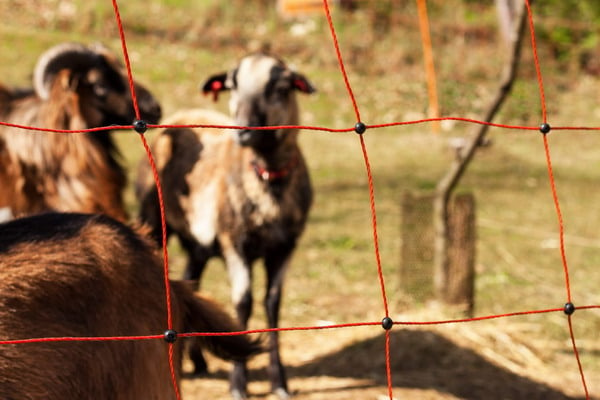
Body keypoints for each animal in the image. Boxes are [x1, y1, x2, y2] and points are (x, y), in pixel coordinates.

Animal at [135, 50, 314, 400]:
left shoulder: (285, 246)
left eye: (281, 88)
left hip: (198, 242)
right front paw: (238, 383)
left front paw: (280, 383)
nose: (243, 131)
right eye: (233, 86)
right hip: (155, 220)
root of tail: (182, 115)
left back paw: (199, 361)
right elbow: (243, 304)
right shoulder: (235, 243)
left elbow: (273, 305)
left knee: (190, 282)